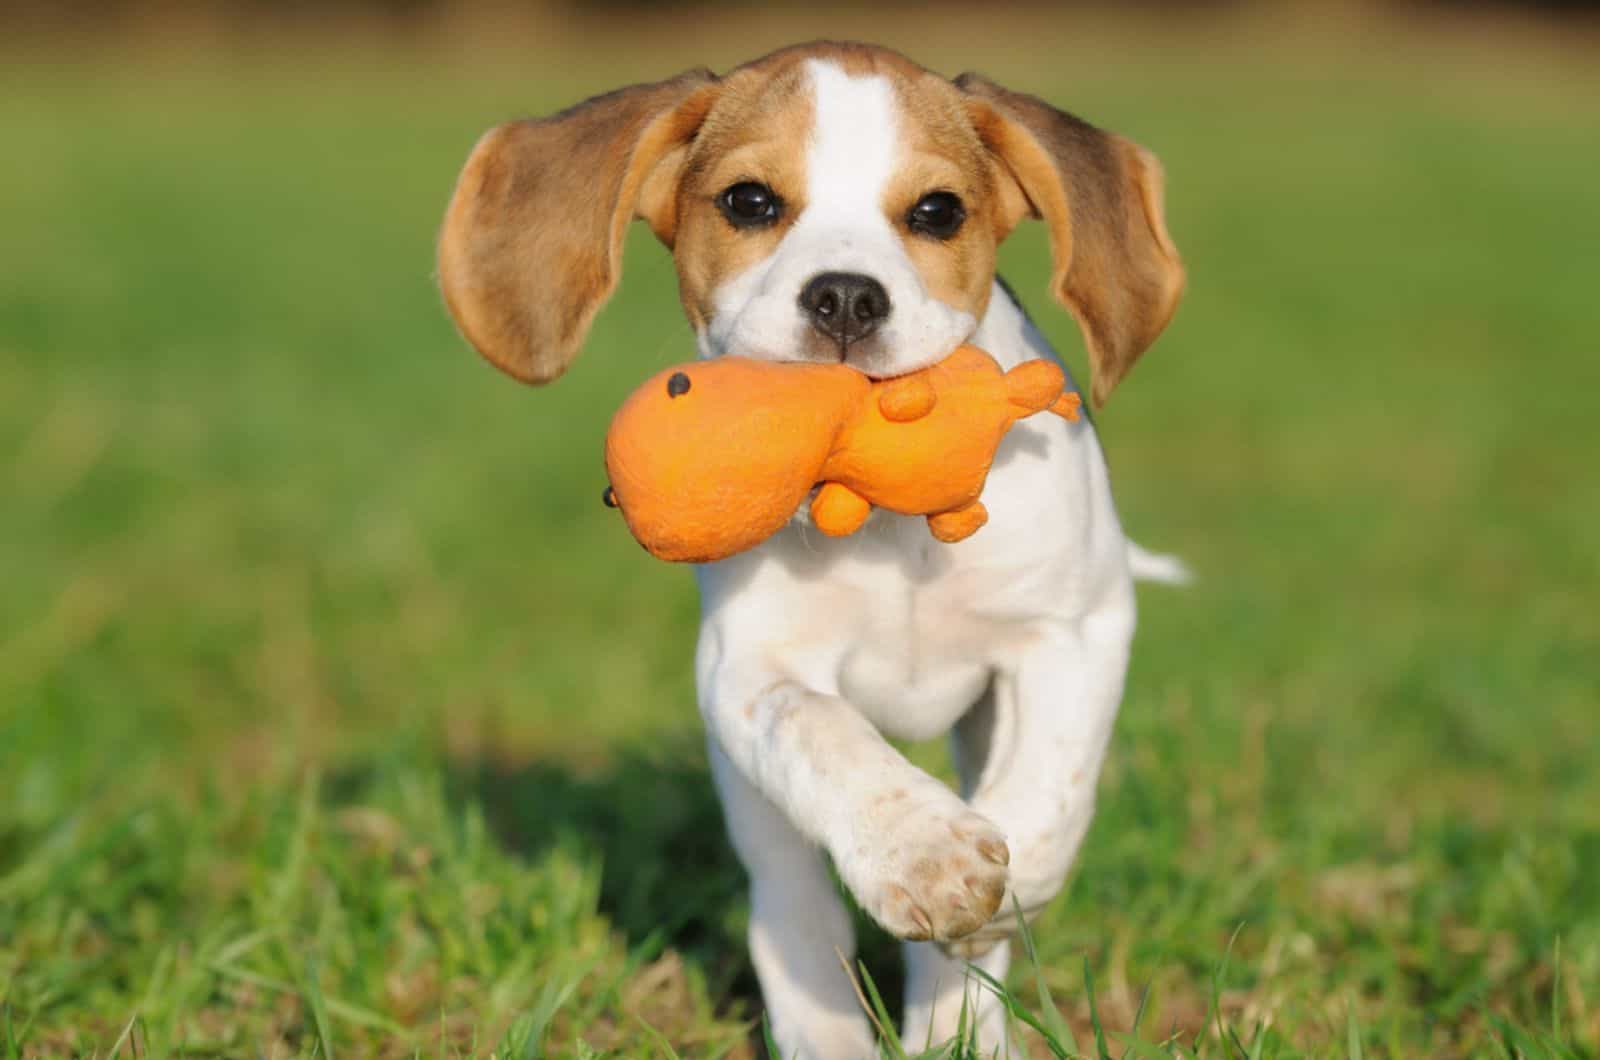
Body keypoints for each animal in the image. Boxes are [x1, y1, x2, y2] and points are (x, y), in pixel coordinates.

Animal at [444, 41, 1184, 1060]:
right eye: (750, 201)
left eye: (937, 212)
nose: (844, 296)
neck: (877, 513)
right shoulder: (746, 670)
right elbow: (826, 735)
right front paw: (925, 852)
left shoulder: (1077, 627)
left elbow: (1047, 788)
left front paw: (1000, 899)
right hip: (753, 804)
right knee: (793, 917)